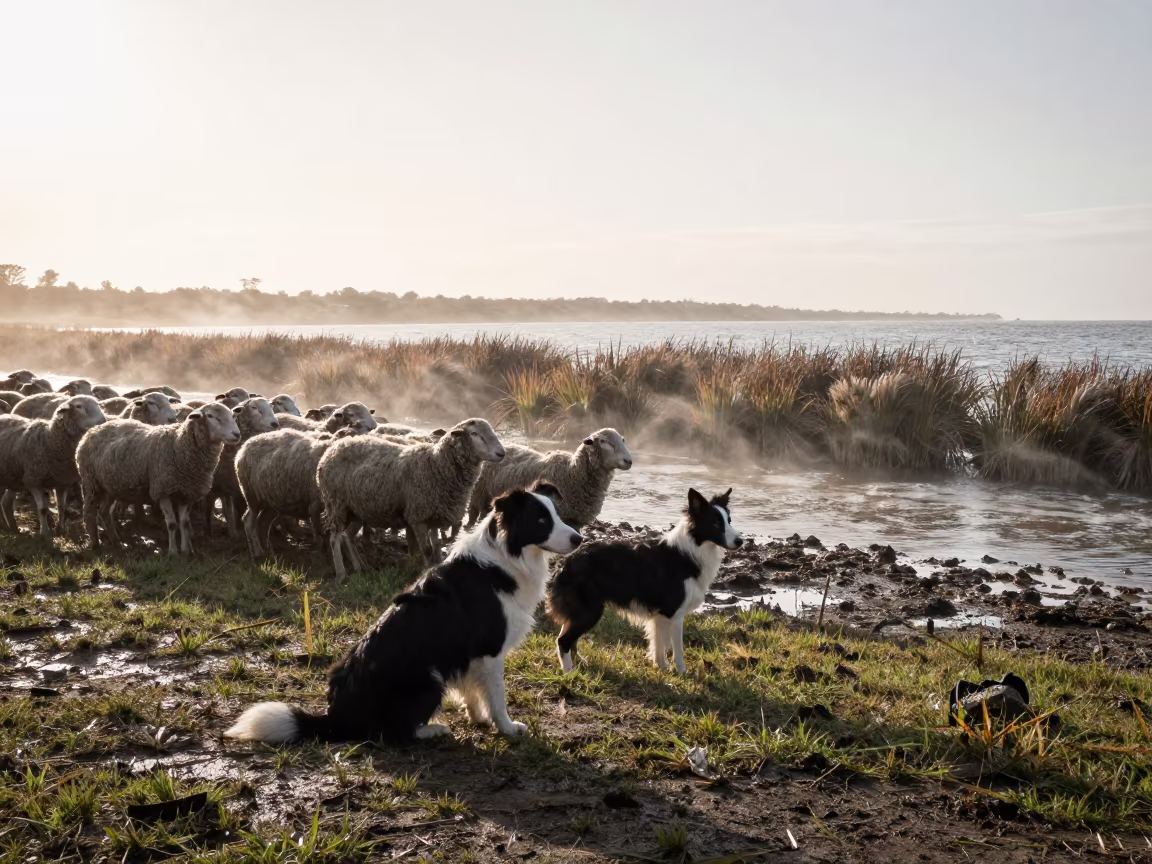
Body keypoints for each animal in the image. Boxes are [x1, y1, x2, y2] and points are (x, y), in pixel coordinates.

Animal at [0, 396, 107, 537]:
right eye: (79, 406)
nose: (103, 421)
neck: (50, 441)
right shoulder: (33, 481)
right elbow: (43, 509)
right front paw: (45, 533)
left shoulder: (62, 482)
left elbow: (61, 507)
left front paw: (60, 529)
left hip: (12, 477)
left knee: (5, 502)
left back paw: (12, 528)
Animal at [77, 403, 241, 555]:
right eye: (211, 416)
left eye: (233, 416)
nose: (237, 434)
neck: (179, 444)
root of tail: (93, 430)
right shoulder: (162, 490)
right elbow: (172, 524)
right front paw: (173, 552)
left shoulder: (187, 493)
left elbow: (184, 523)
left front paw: (186, 551)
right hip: (91, 482)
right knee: (90, 513)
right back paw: (96, 544)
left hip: (110, 487)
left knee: (104, 512)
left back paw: (116, 541)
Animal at [317, 418, 504, 577]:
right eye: (474, 434)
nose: (501, 453)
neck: (436, 465)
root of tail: (333, 448)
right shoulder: (418, 517)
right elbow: (427, 549)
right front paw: (426, 571)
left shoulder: (434, 515)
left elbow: (437, 547)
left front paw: (436, 566)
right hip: (336, 503)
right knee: (335, 538)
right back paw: (341, 573)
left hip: (357, 508)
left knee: (348, 536)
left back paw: (360, 567)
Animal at [467, 428, 632, 530]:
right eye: (604, 441)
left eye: (622, 440)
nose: (628, 461)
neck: (572, 473)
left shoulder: (576, 521)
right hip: (477, 493)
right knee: (472, 514)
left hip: (489, 499)